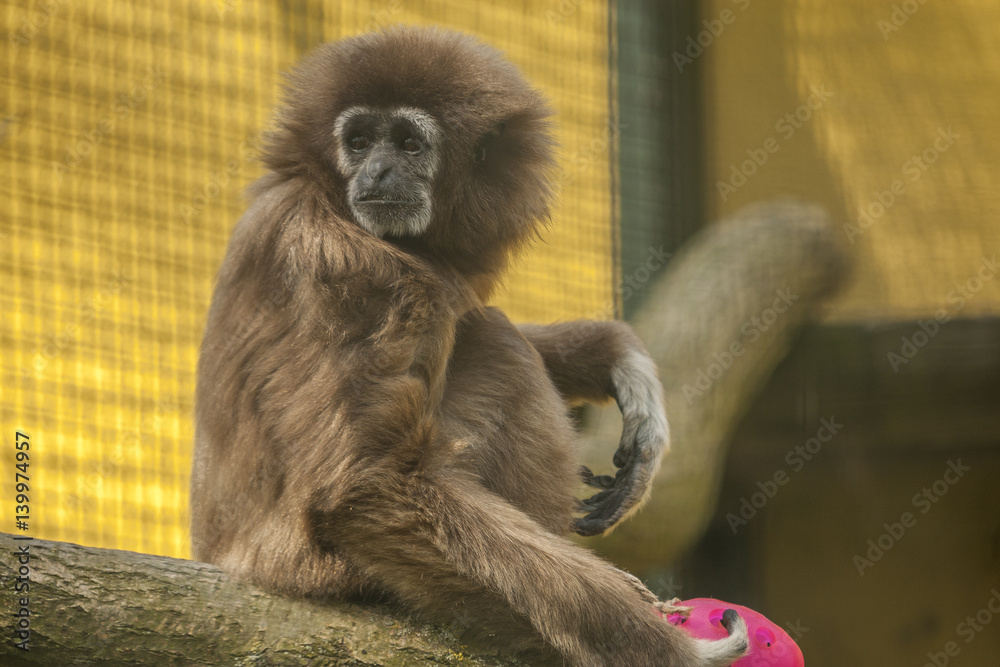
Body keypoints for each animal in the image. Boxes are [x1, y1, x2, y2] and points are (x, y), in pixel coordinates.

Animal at [190, 26, 748, 666]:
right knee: (495, 344)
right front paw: (668, 652)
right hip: (315, 568)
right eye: (358, 141)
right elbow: (364, 488)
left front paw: (620, 362)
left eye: (408, 144)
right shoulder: (357, 272)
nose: (375, 172)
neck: (320, 193)